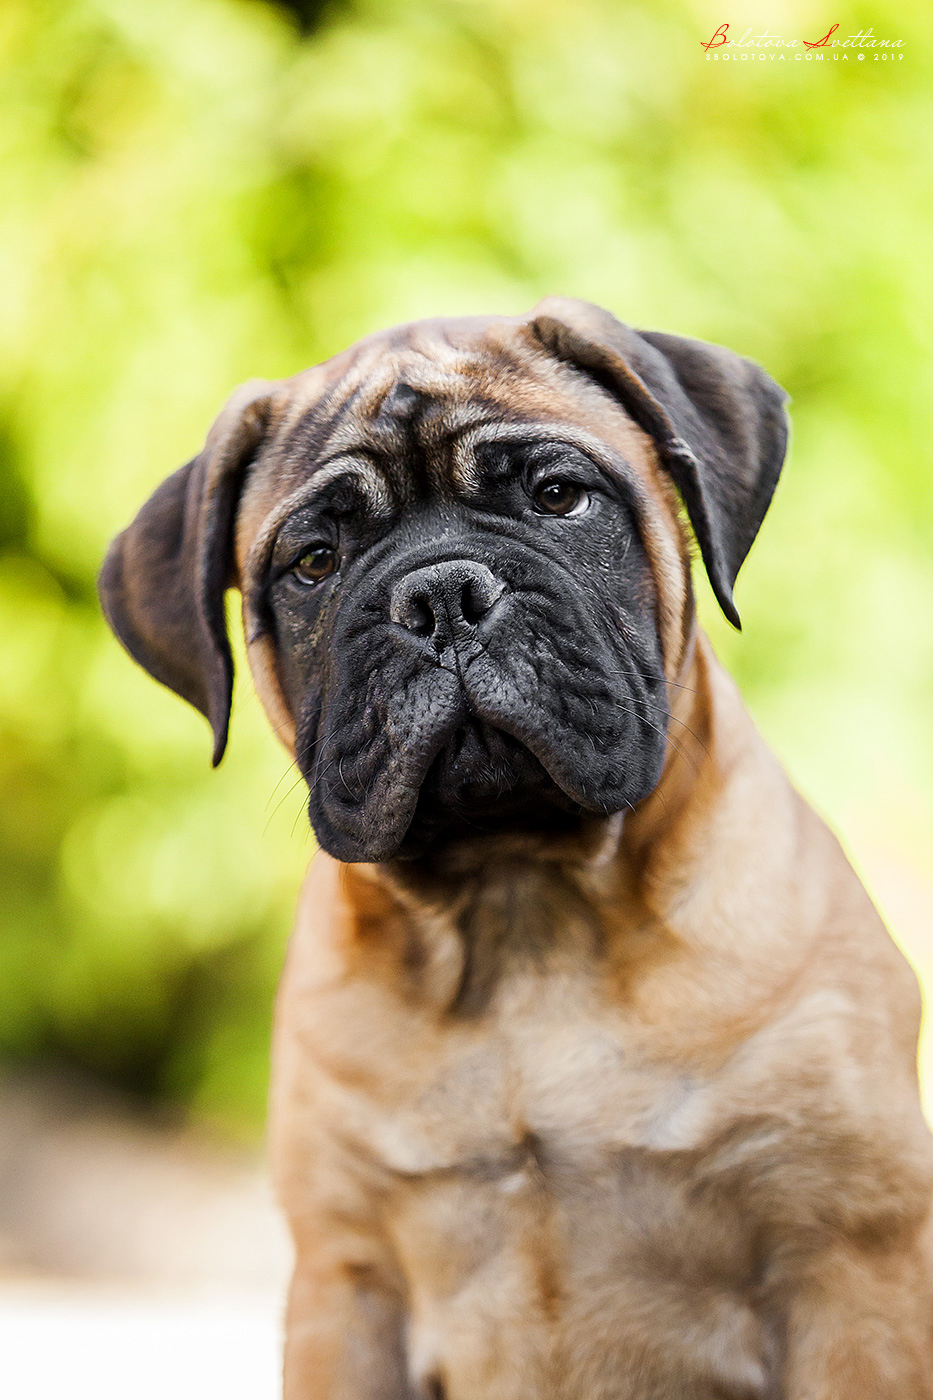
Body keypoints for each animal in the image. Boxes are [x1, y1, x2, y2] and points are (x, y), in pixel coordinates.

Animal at [98, 301, 924, 1394]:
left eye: (558, 495)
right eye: (313, 559)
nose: (441, 594)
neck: (523, 907)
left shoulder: (848, 1261)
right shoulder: (346, 1285)